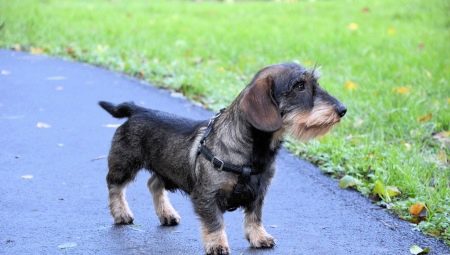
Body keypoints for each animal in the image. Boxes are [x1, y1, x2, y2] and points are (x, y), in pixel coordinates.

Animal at [100, 62, 348, 254]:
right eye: (299, 86)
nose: (343, 109)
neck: (253, 150)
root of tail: (138, 110)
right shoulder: (206, 195)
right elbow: (214, 223)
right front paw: (217, 245)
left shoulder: (259, 192)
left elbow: (254, 217)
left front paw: (259, 237)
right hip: (124, 164)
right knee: (114, 186)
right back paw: (121, 213)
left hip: (165, 167)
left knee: (154, 183)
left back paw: (167, 214)